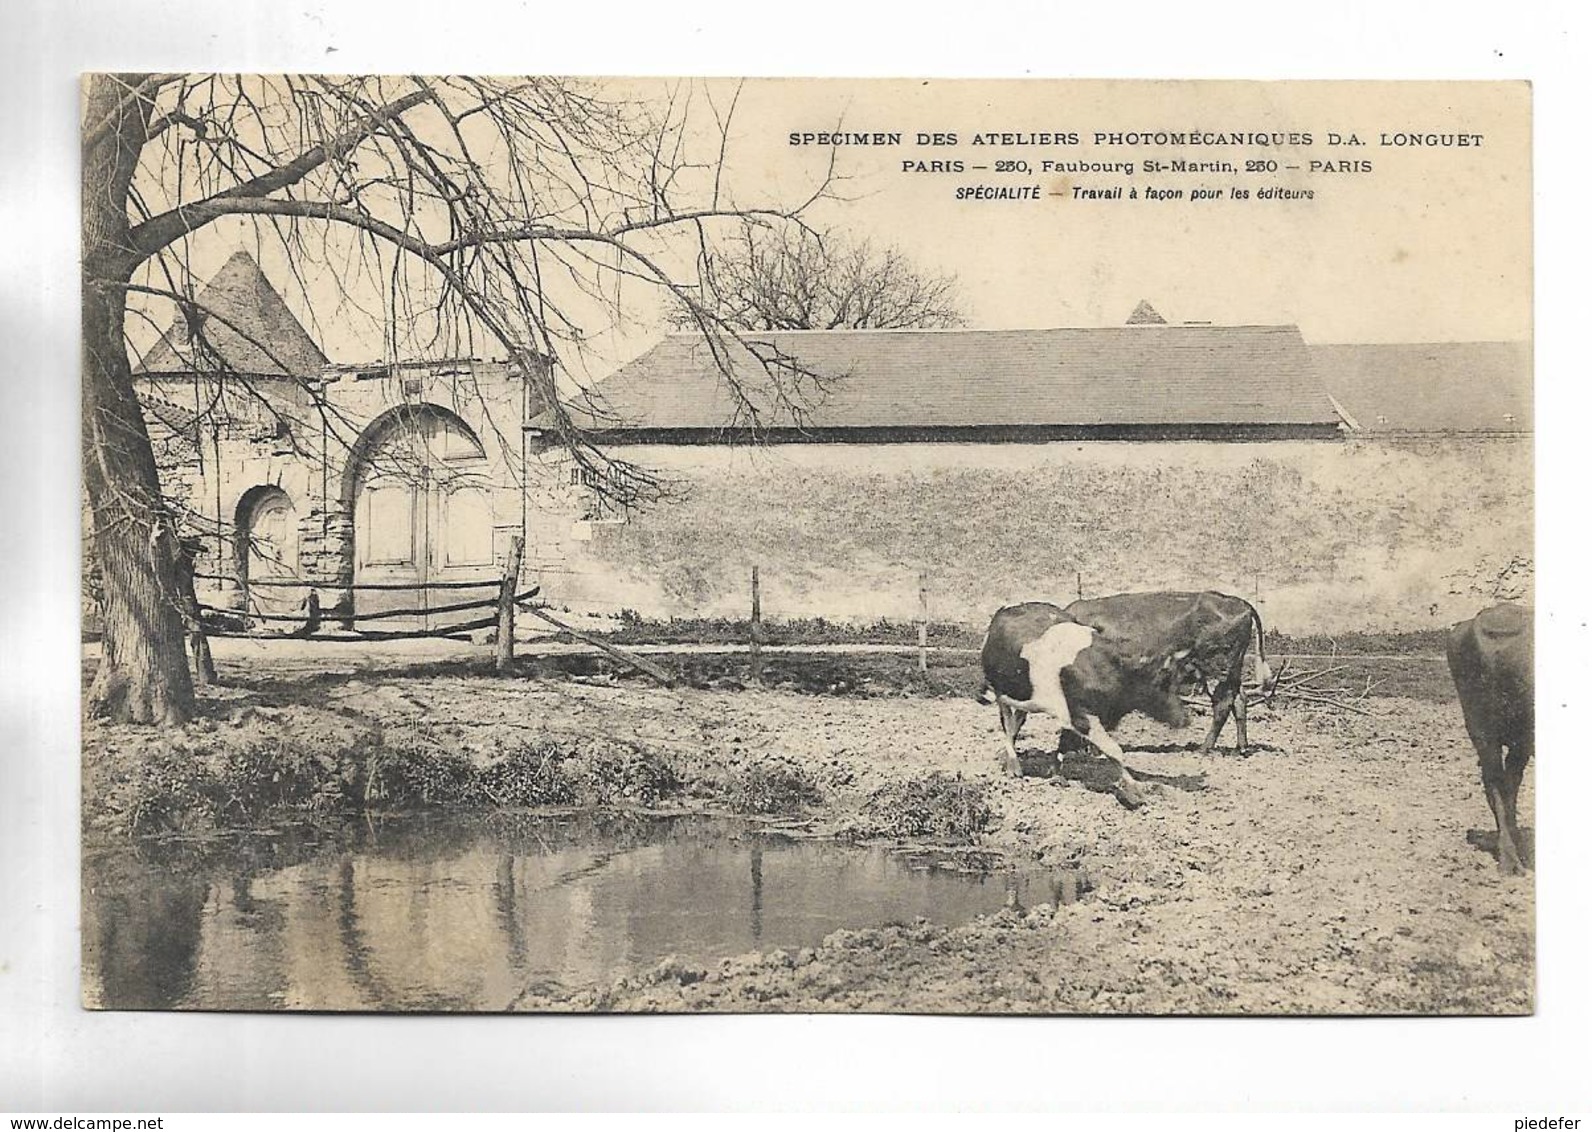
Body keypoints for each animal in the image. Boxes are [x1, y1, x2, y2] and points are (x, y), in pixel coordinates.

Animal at [980, 601, 1197, 805]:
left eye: (1179, 681)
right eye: (1161, 682)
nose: (1185, 720)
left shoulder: (1076, 714)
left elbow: (1065, 744)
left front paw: (1056, 774)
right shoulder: (1081, 716)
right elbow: (1114, 751)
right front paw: (1135, 790)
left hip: (1025, 694)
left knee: (1017, 722)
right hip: (1000, 692)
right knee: (1008, 726)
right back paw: (1013, 766)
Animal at [1063, 589, 1273, 757]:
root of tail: (1238, 601)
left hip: (1217, 668)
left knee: (1223, 703)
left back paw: (1204, 749)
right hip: (1233, 669)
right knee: (1239, 699)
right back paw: (1241, 748)